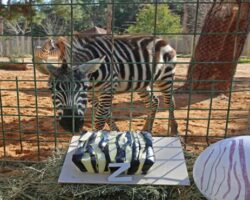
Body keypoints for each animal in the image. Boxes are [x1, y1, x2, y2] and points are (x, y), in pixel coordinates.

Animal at [36, 34, 179, 136]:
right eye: (51, 89)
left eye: (83, 88)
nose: (71, 124)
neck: (92, 79)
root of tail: (162, 39)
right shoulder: (92, 95)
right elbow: (107, 113)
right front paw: (115, 132)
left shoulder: (108, 87)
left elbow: (100, 118)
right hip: (141, 84)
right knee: (153, 102)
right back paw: (146, 130)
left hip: (166, 78)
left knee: (170, 102)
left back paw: (174, 131)